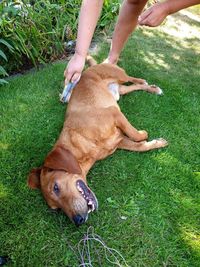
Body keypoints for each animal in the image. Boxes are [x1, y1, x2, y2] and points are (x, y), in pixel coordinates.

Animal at [27, 58, 167, 226]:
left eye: (56, 187)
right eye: (57, 208)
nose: (78, 221)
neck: (83, 144)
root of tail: (89, 69)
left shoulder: (115, 114)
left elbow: (137, 136)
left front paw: (143, 134)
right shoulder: (119, 140)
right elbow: (140, 146)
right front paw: (157, 143)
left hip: (119, 75)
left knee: (131, 78)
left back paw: (145, 83)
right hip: (120, 91)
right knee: (132, 87)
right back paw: (152, 88)